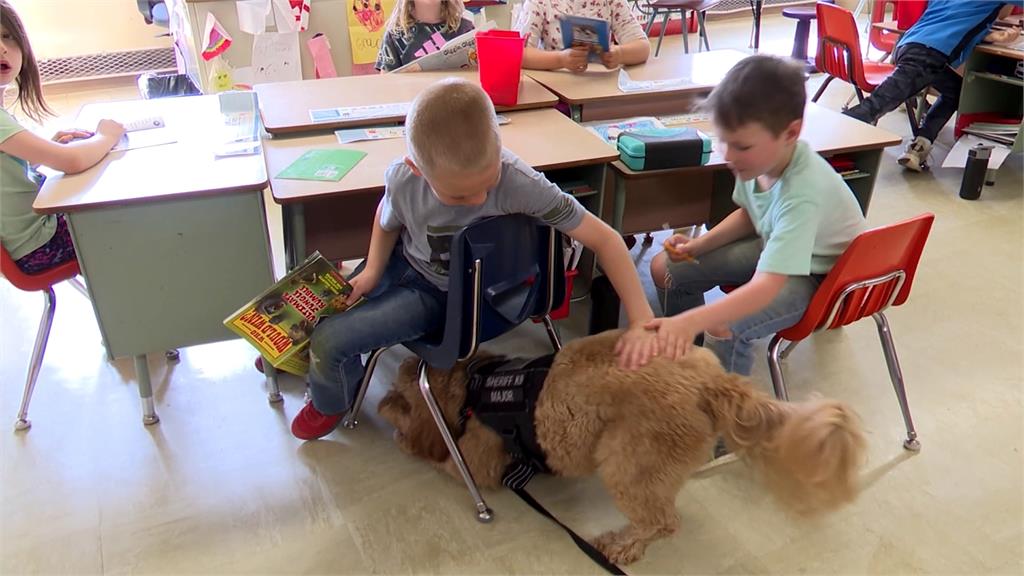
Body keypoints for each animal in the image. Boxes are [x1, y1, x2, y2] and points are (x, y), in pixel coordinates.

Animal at [378, 330, 865, 565]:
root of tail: (713, 383)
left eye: (402, 393)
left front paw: (400, 432)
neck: (474, 384)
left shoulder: (477, 463)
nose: (385, 401)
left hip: (626, 462)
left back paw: (622, 546)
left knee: (662, 522)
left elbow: (442, 458)